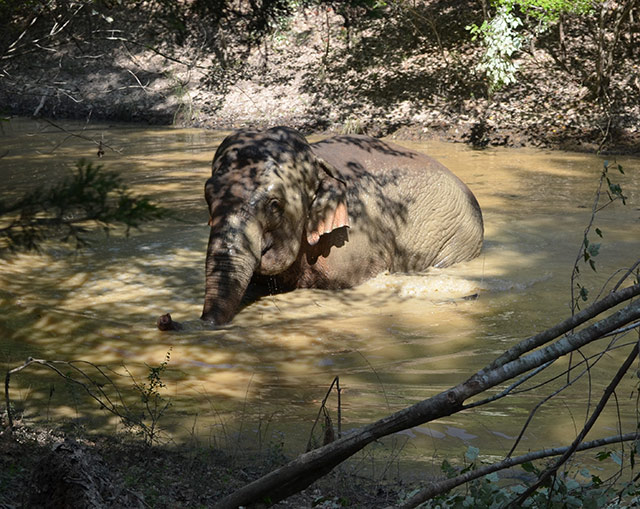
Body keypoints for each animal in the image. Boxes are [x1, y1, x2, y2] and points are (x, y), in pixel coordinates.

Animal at [198, 127, 482, 326]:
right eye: (208, 196)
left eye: (274, 204)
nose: (205, 323)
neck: (317, 159)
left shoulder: (355, 241)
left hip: (456, 240)